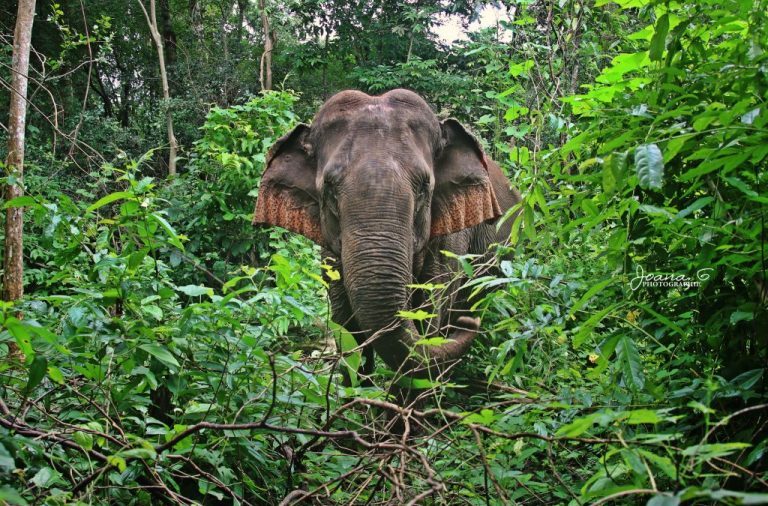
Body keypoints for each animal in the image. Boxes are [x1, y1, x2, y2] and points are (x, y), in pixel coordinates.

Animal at [252, 89, 520, 380]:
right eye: (330, 189)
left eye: (424, 187)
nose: (469, 323)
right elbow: (346, 325)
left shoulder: (447, 244)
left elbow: (428, 318)